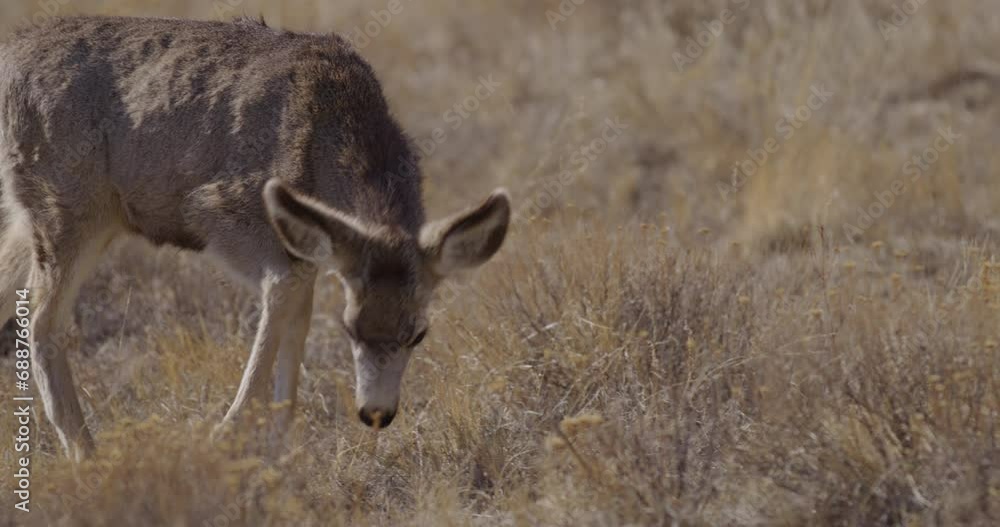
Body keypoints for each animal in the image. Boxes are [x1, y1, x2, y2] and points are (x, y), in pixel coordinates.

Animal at [0, 15, 510, 461]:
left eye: (419, 333)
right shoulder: (220, 212)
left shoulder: (309, 249)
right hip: (68, 208)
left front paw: (279, 447)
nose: (376, 413)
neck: (327, 132)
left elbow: (298, 315)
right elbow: (284, 293)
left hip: (36, 219)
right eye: (350, 328)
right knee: (42, 322)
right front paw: (227, 435)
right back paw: (85, 453)